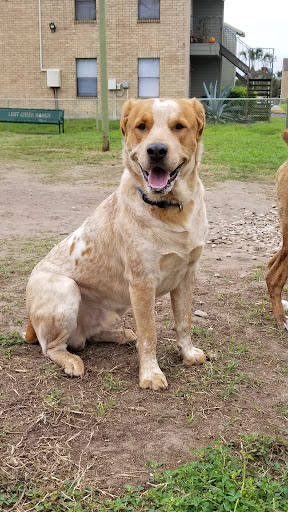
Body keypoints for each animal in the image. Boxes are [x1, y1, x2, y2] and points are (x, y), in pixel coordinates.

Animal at [25, 98, 207, 390]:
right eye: (141, 126)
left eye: (179, 126)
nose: (156, 150)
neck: (170, 210)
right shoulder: (142, 283)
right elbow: (150, 334)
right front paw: (150, 374)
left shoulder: (187, 276)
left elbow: (184, 323)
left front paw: (188, 355)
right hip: (66, 289)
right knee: (52, 347)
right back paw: (71, 362)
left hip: (111, 311)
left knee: (86, 337)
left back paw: (122, 335)